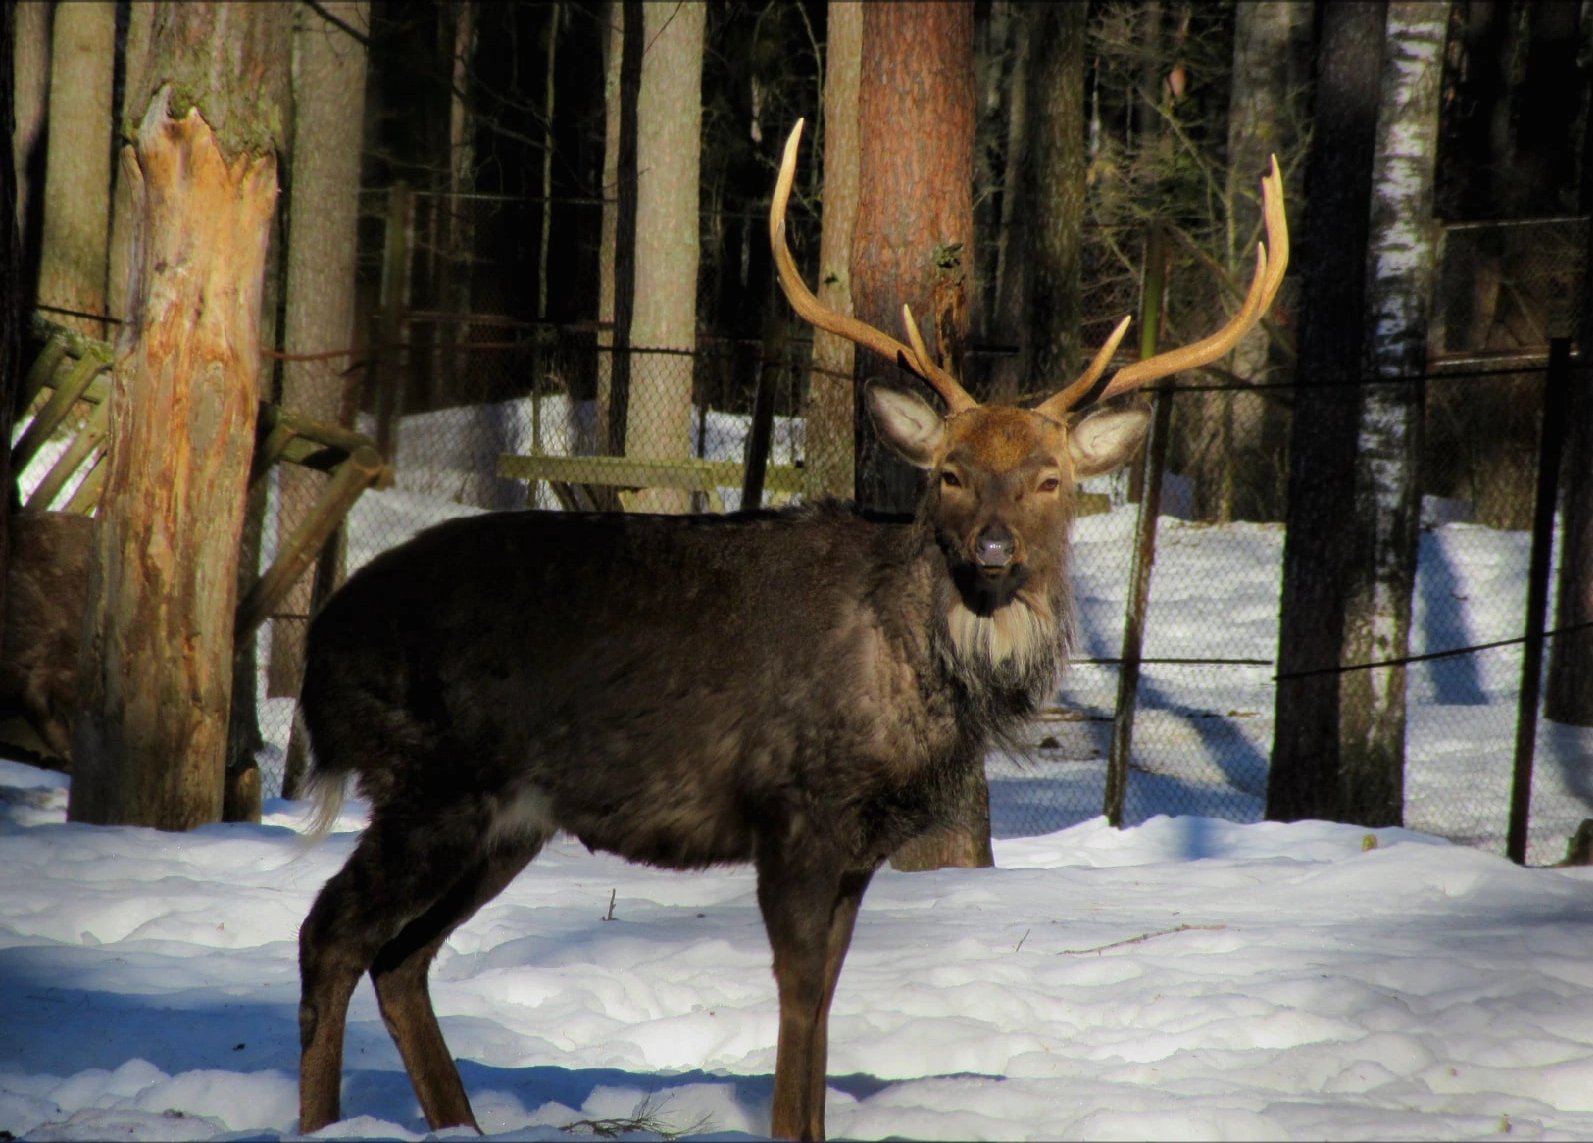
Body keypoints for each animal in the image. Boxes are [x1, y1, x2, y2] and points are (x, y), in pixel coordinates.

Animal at [299, 120, 1287, 1139]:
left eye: (1048, 476)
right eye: (950, 472)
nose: (993, 547)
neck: (917, 680)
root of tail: (318, 645)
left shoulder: (862, 845)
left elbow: (830, 992)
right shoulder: (795, 806)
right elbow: (801, 988)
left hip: (507, 817)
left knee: (399, 956)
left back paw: (457, 1120)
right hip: (429, 779)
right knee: (330, 931)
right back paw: (321, 1119)